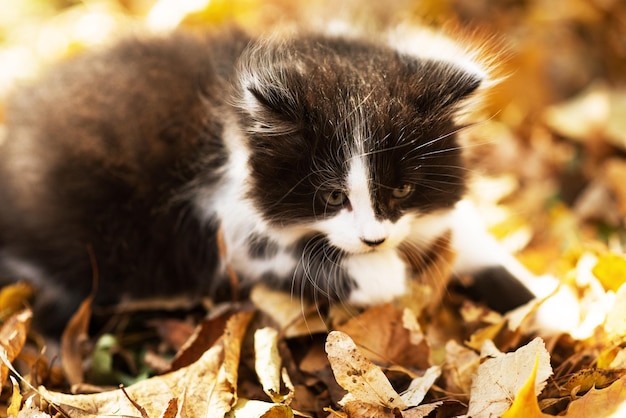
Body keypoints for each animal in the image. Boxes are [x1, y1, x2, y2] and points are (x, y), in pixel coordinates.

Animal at [0, 25, 532, 334]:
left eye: (402, 189)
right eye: (332, 196)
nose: (374, 239)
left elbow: (461, 232)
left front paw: (541, 307)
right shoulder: (226, 222)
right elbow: (287, 255)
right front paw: (384, 273)